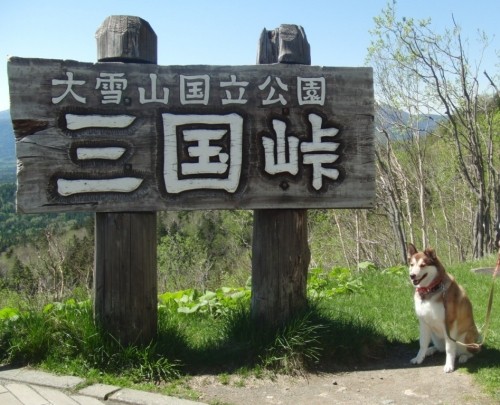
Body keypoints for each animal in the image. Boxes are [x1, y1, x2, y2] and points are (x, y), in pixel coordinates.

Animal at [406, 241, 480, 370]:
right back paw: (430, 350)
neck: (430, 290)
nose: (412, 275)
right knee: (440, 348)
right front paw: (419, 358)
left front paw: (449, 366)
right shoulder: (423, 322)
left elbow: (449, 348)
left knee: (468, 352)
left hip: (466, 338)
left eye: (423, 265)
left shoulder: (449, 323)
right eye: (412, 264)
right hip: (435, 336)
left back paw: (463, 357)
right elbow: (422, 343)